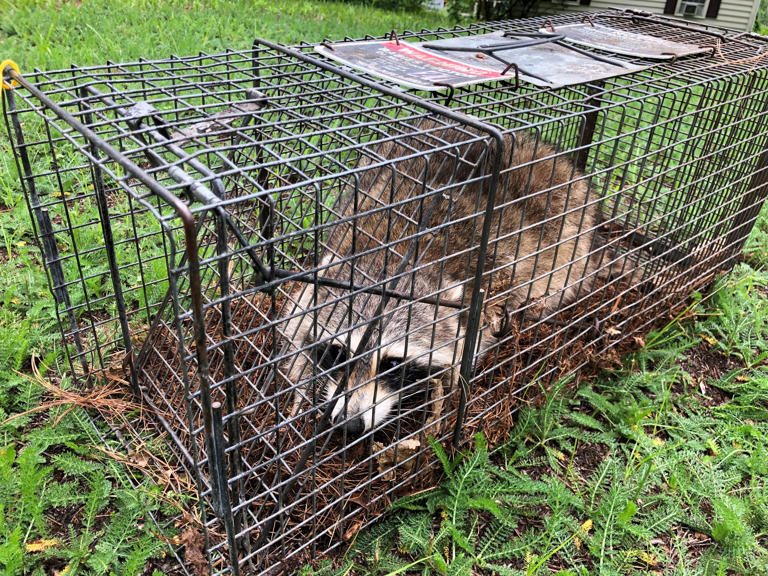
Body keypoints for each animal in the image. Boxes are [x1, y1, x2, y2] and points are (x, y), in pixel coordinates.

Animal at [281, 119, 611, 436]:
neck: (394, 261)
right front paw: (302, 380)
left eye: (392, 364)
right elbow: (296, 324)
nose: (349, 424)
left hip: (571, 232)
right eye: (338, 354)